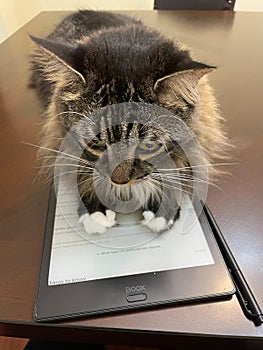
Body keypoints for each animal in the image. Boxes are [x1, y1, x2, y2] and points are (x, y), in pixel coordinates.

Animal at [29, 10, 231, 235]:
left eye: (148, 145)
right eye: (96, 143)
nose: (119, 182)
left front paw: (163, 208)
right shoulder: (60, 137)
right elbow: (82, 167)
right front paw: (94, 211)